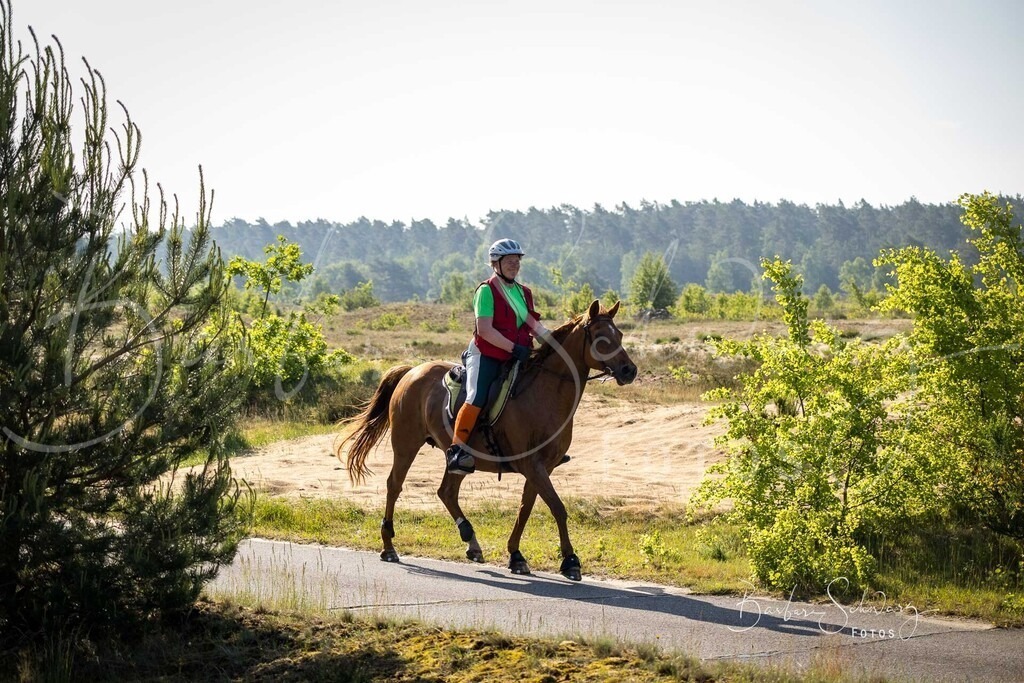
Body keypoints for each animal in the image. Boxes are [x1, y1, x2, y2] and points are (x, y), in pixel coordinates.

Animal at [335, 299, 637, 581]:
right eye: (601, 337)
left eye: (620, 334)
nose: (629, 371)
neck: (545, 394)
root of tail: (411, 371)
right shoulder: (532, 465)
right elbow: (557, 507)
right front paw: (571, 561)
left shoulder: (543, 467)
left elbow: (526, 509)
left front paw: (516, 556)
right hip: (406, 445)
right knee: (394, 486)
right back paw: (389, 546)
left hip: (458, 458)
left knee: (446, 492)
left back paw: (471, 540)